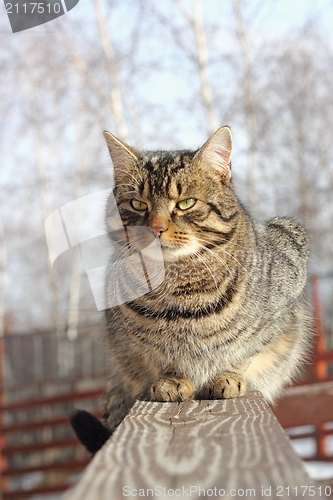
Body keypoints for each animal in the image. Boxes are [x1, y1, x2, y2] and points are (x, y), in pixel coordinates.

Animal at [70, 126, 312, 458]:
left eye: (185, 203)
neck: (178, 287)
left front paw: (228, 375)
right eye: (138, 205)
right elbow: (159, 358)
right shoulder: (132, 345)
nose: (156, 228)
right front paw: (171, 381)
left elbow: (247, 350)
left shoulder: (284, 303)